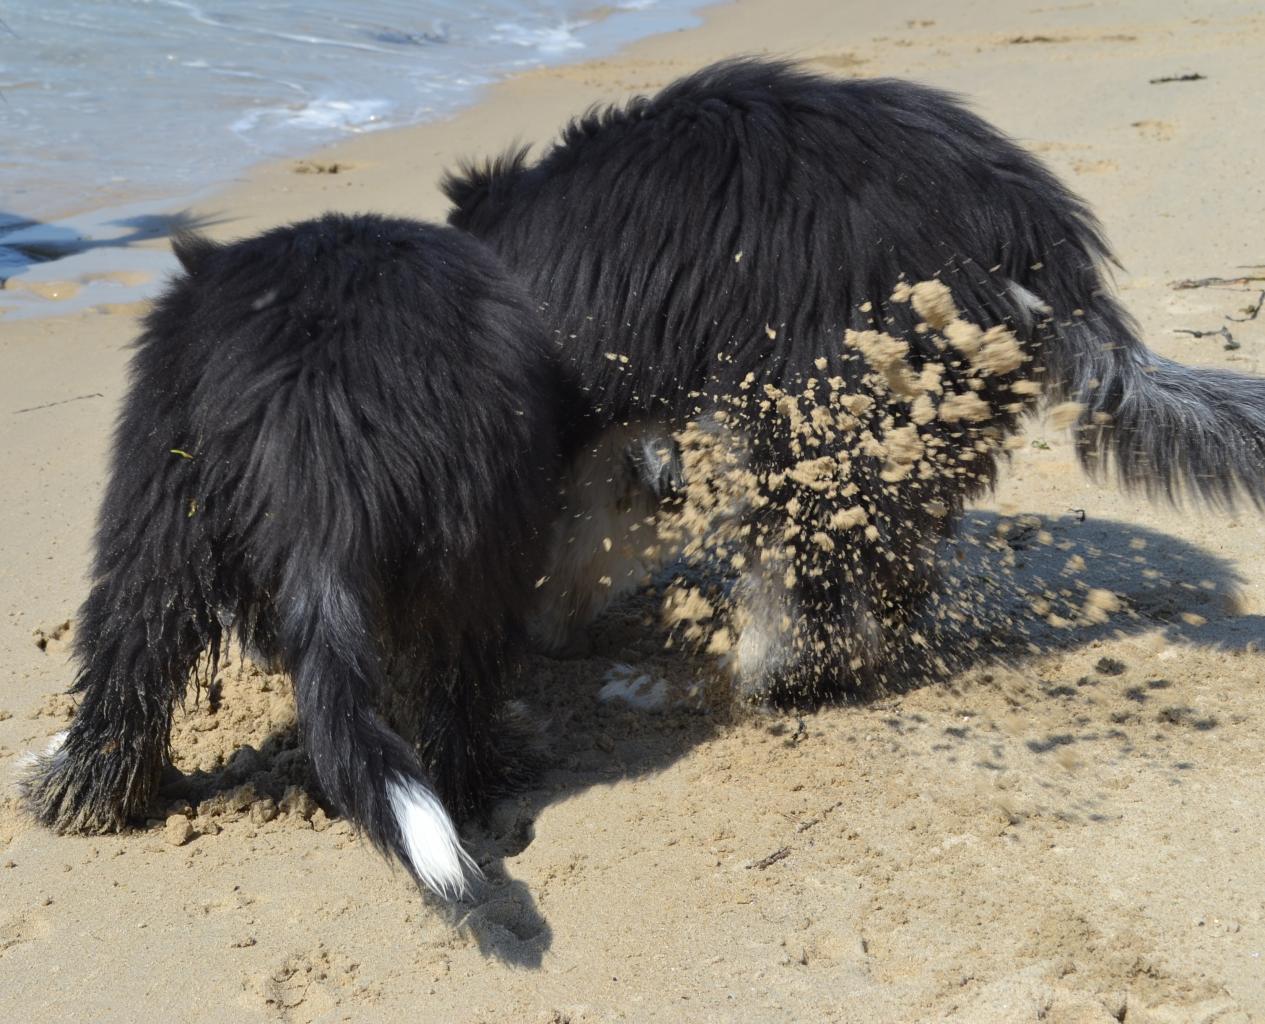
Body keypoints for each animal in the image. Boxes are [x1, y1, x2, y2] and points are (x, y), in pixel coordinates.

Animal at [18, 213, 564, 896]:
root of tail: (321, 425)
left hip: (162, 500)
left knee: (131, 652)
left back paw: (74, 792)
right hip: (470, 541)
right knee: (458, 686)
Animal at [445, 56, 1265, 693]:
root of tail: (1034, 237)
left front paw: (549, 626)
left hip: (813, 403)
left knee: (809, 562)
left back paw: (774, 675)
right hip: (920, 418)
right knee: (892, 546)